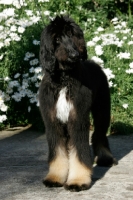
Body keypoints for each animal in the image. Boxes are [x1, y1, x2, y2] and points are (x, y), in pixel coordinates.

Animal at [38, 14, 116, 191]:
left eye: (71, 34)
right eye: (57, 39)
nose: (74, 55)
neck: (63, 80)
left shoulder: (77, 118)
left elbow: (79, 152)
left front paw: (78, 180)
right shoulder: (53, 121)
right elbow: (58, 153)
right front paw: (55, 177)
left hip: (102, 109)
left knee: (99, 134)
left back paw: (105, 157)